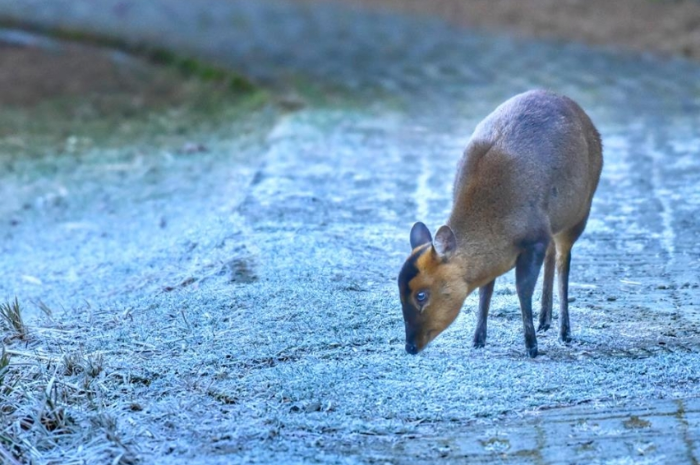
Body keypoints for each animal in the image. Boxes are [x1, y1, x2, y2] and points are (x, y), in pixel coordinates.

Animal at [400, 89, 600, 358]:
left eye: (421, 295)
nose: (410, 346)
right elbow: (486, 289)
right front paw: (478, 339)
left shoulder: (535, 237)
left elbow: (522, 288)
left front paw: (531, 346)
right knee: (553, 254)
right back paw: (544, 319)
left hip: (581, 209)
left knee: (563, 260)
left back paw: (563, 331)